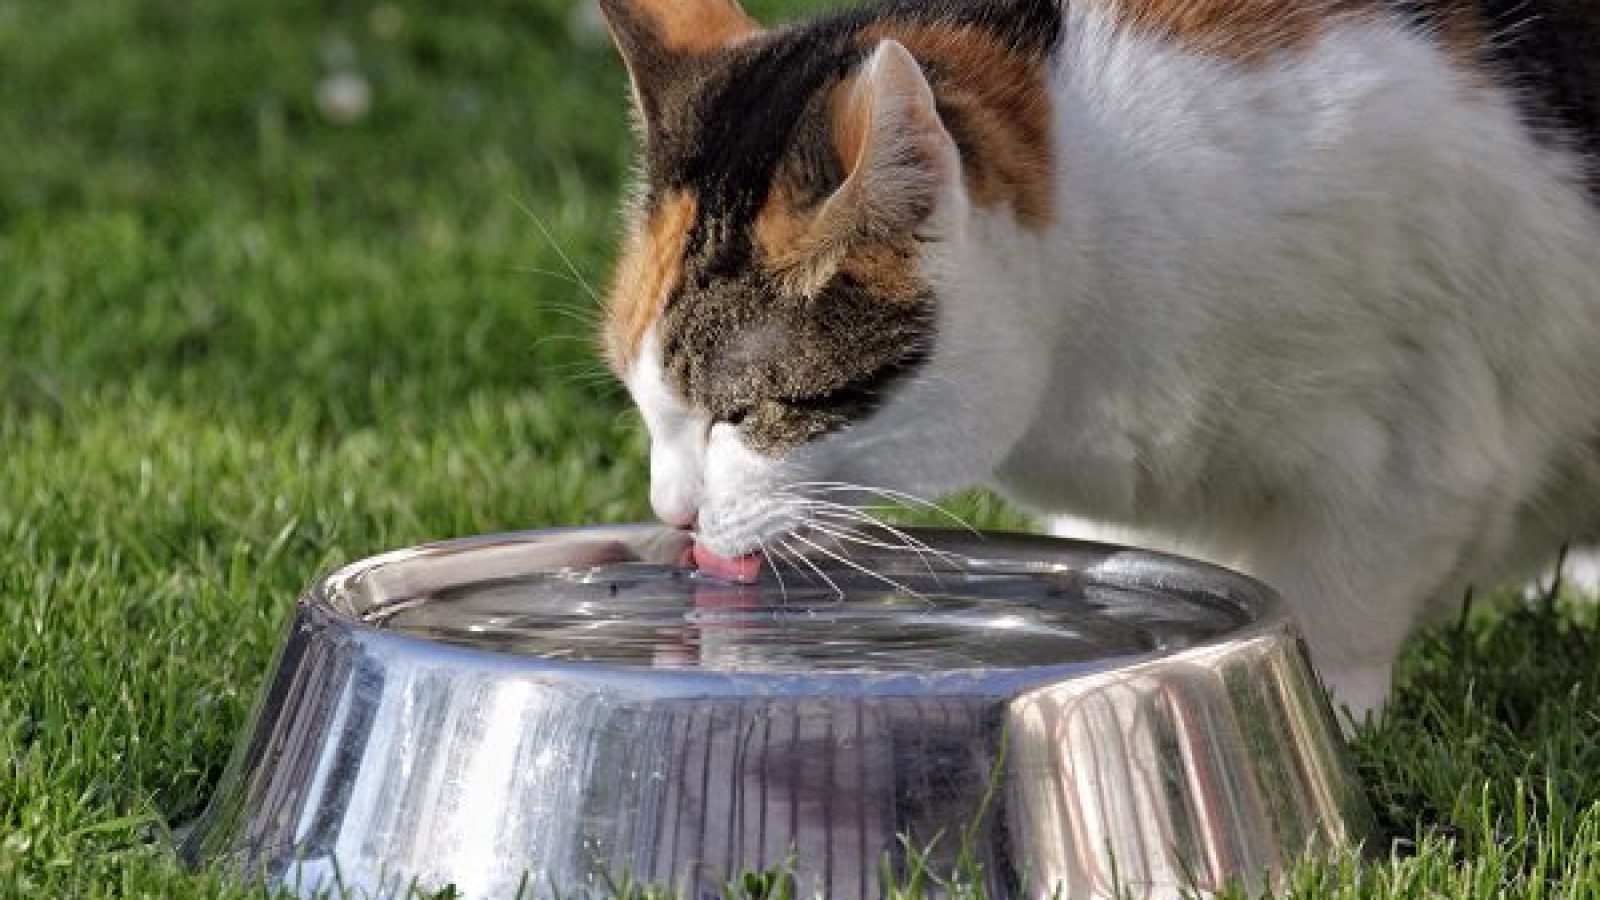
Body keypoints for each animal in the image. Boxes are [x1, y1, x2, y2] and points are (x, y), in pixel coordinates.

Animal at [592, 0, 1600, 717]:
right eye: (645, 404)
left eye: (744, 413)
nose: (673, 514)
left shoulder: (1411, 441)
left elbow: (1336, 605)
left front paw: (1331, 713)